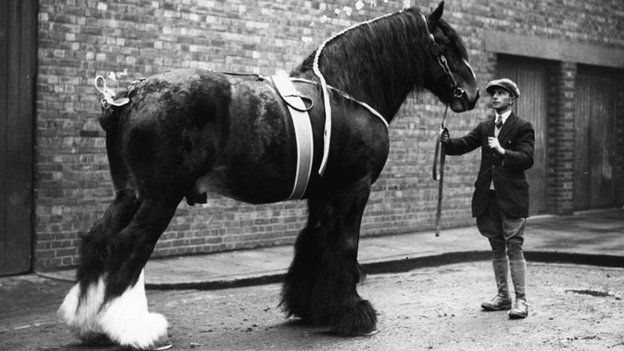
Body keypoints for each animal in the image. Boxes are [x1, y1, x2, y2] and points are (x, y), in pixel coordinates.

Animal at [58, 2, 478, 350]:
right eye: (446, 48)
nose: (472, 94)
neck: (346, 92)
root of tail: (129, 96)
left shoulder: (323, 194)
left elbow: (313, 243)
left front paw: (311, 307)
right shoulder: (352, 188)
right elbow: (344, 246)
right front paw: (353, 313)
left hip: (129, 194)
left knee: (98, 241)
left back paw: (89, 323)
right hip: (160, 198)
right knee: (129, 247)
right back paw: (134, 330)